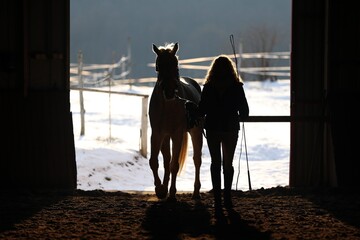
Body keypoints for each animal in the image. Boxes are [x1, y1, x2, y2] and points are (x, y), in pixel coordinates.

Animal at [148, 42, 202, 201]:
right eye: (158, 66)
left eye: (176, 65)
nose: (170, 91)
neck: (168, 106)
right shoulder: (157, 134)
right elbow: (155, 161)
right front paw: (160, 189)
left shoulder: (177, 134)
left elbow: (174, 165)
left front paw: (171, 193)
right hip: (166, 137)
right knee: (167, 160)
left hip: (196, 132)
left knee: (197, 160)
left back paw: (196, 192)